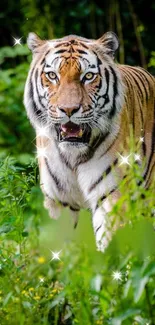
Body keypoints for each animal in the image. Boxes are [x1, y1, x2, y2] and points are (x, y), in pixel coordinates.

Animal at [23, 31, 154, 251]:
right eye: (52, 75)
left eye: (89, 76)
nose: (68, 109)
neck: (72, 156)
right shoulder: (59, 201)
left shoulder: (112, 197)